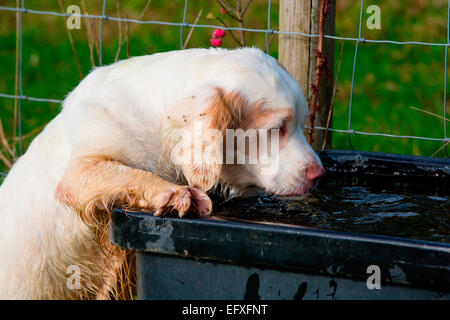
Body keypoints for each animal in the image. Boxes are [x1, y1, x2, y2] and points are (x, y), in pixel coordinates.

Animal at [0, 48, 324, 300]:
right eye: (276, 128)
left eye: (300, 124)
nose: (319, 174)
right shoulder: (78, 172)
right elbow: (132, 174)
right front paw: (175, 194)